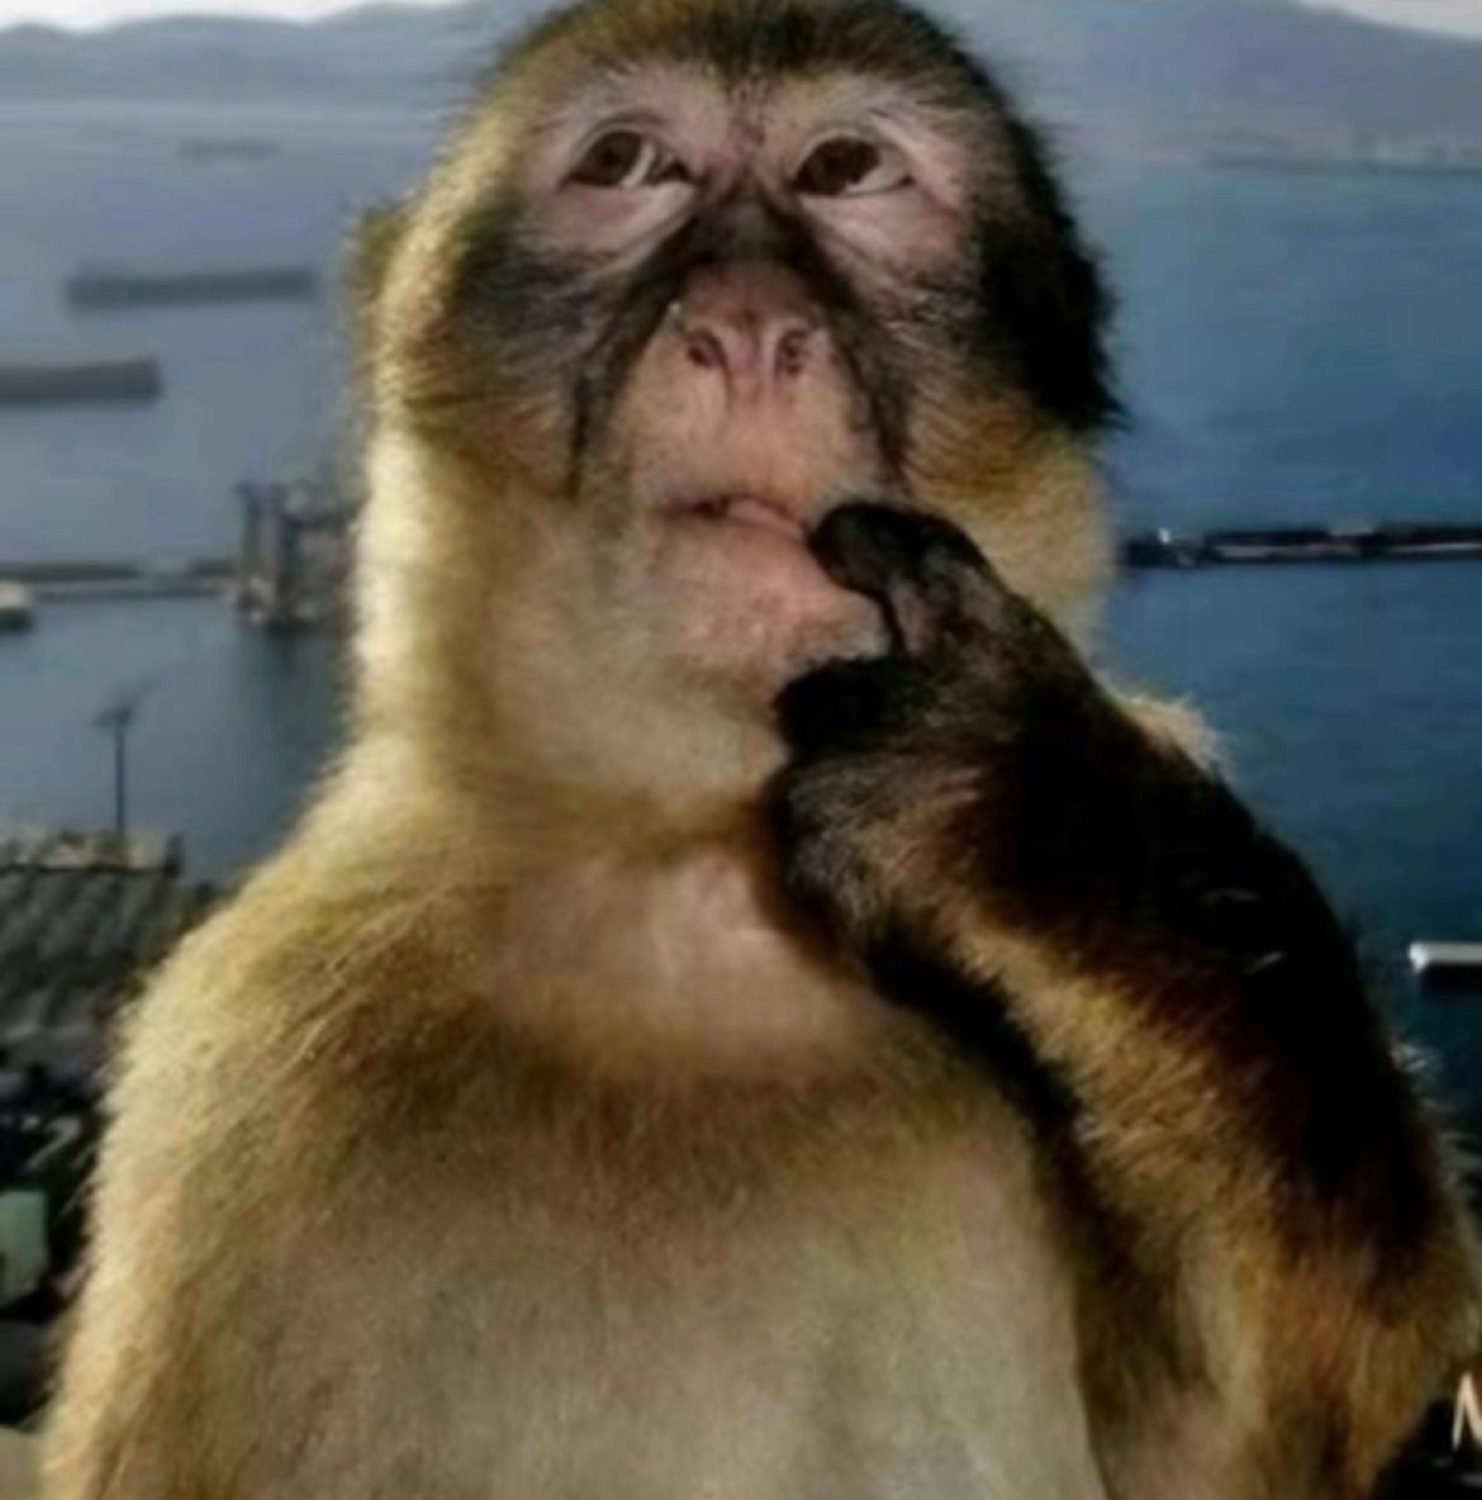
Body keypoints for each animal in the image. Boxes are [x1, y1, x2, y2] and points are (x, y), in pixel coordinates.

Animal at [42, 0, 1479, 1496]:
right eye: (627, 164)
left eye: (847, 170)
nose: (746, 328)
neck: (698, 884)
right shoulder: (234, 1075)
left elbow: (1257, 1445)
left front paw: (1026, 813)